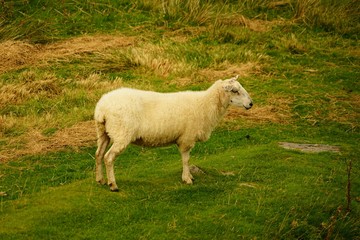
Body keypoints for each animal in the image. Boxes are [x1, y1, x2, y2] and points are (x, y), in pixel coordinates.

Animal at [95, 75, 253, 191]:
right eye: (234, 91)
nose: (251, 104)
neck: (206, 104)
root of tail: (101, 108)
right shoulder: (187, 138)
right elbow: (186, 159)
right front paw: (187, 178)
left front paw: (189, 176)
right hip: (121, 133)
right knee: (108, 157)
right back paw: (113, 185)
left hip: (103, 133)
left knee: (99, 154)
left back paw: (100, 180)